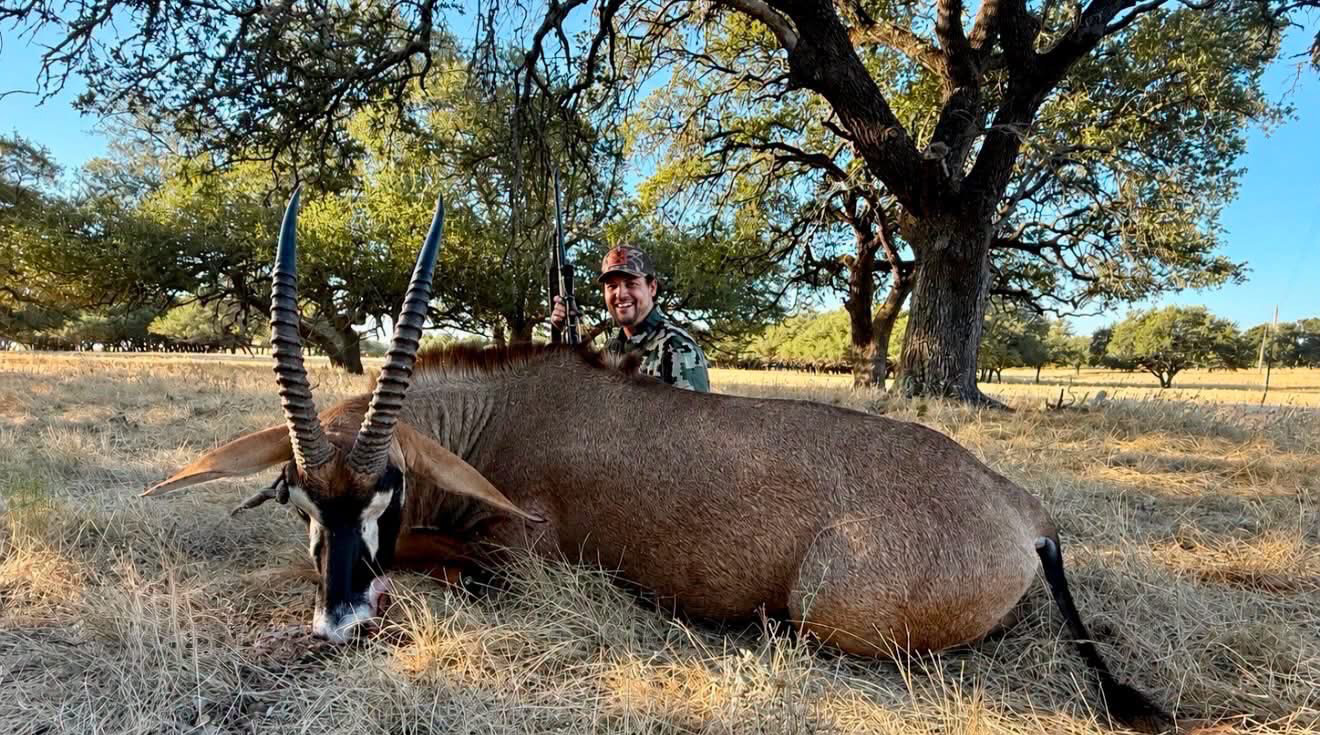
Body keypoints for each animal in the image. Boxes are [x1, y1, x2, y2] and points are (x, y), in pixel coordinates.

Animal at [146, 191, 1170, 732]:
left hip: (826, 605)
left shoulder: (521, 560)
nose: (341, 619)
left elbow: (443, 561)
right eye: (298, 498)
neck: (494, 414)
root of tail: (1021, 508)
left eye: (387, 488)